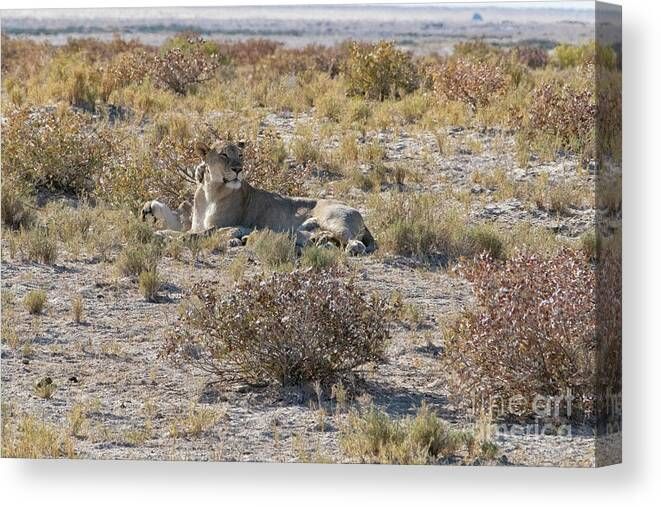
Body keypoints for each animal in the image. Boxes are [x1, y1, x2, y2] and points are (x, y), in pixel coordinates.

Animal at [141, 142, 374, 254]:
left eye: (240, 155)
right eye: (224, 155)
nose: (238, 169)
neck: (210, 192)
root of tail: (357, 211)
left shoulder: (219, 225)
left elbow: (191, 235)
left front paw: (165, 235)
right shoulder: (197, 225)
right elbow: (180, 231)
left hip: (333, 219)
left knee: (352, 240)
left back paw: (350, 247)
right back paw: (320, 240)